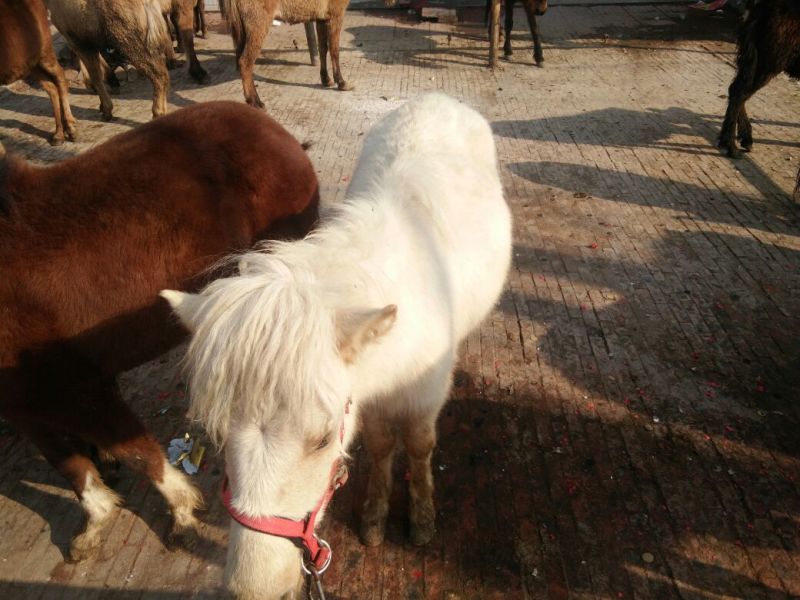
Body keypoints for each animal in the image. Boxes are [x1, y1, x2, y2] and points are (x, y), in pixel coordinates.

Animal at [0, 0, 77, 145]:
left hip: (45, 53)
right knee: (51, 88)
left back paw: (70, 128)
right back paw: (59, 134)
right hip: (31, 64)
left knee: (60, 78)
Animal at [0, 101, 320, 563]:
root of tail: (276, 132)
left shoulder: (73, 388)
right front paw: (94, 520)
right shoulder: (27, 401)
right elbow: (69, 464)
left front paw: (181, 511)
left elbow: (136, 451)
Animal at [162, 93, 513, 599]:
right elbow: (383, 446)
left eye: (323, 439)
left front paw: (422, 516)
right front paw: (375, 515)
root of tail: (437, 98)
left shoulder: (424, 396)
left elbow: (419, 445)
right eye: (219, 433)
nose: (254, 587)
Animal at [221, 0, 354, 109]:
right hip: (257, 24)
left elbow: (323, 49)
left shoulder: (322, 18)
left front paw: (326, 79)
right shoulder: (336, 15)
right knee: (245, 62)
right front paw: (341, 83)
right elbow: (334, 50)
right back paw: (256, 102)